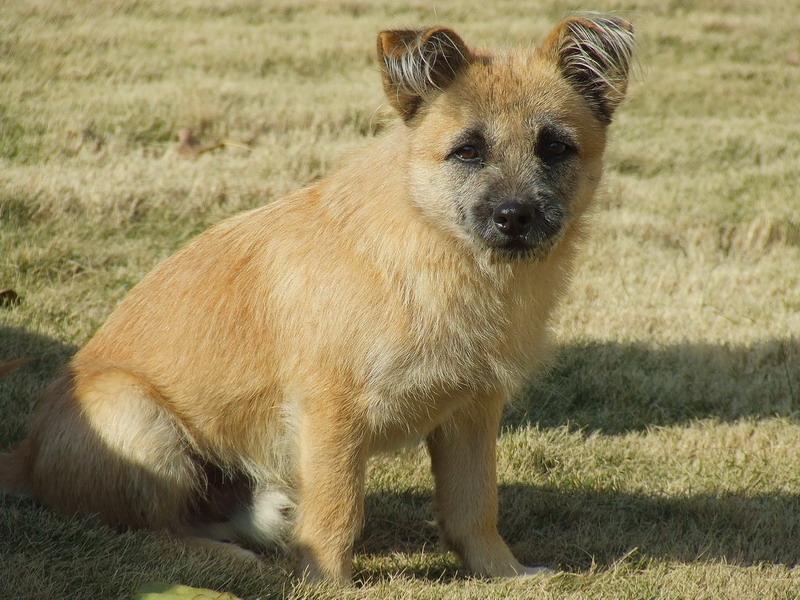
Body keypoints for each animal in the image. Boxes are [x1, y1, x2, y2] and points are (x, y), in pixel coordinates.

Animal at [1, 14, 636, 584]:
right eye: (467, 151)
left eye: (555, 147)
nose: (515, 217)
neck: (433, 249)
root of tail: (25, 457)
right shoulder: (332, 415)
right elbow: (337, 514)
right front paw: (328, 583)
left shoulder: (471, 414)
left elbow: (474, 507)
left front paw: (504, 574)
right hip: (136, 418)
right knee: (151, 532)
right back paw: (229, 559)